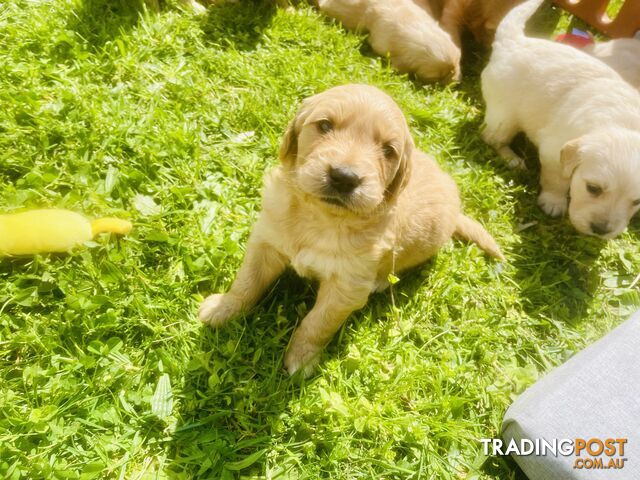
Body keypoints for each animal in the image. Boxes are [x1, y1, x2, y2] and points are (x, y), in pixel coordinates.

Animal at [200, 83, 504, 376]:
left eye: (388, 150)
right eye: (324, 125)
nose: (344, 177)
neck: (321, 218)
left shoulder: (346, 288)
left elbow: (317, 323)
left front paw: (301, 358)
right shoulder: (265, 241)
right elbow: (246, 282)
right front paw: (222, 309)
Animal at [482, 0, 640, 238]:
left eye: (637, 202)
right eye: (593, 188)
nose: (600, 230)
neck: (623, 125)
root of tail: (514, 41)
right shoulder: (553, 152)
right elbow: (557, 180)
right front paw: (554, 202)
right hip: (504, 116)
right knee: (491, 137)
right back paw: (512, 158)